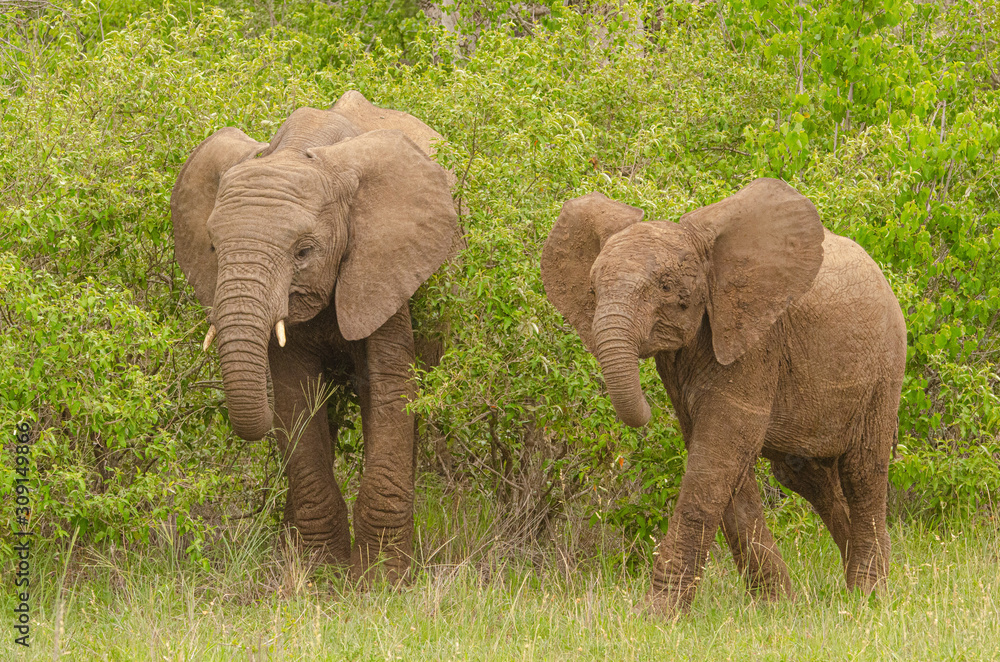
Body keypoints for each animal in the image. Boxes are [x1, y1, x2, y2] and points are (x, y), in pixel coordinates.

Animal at [171, 90, 459, 583]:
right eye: (212, 247)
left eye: (303, 252)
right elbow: (295, 395)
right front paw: (319, 571)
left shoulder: (384, 262)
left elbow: (389, 389)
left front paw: (381, 579)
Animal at [541, 178, 906, 614]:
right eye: (593, 290)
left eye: (668, 288)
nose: (644, 410)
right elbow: (724, 464)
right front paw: (775, 606)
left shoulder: (756, 342)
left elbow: (718, 453)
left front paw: (656, 614)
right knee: (803, 473)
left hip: (885, 368)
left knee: (863, 470)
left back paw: (868, 595)